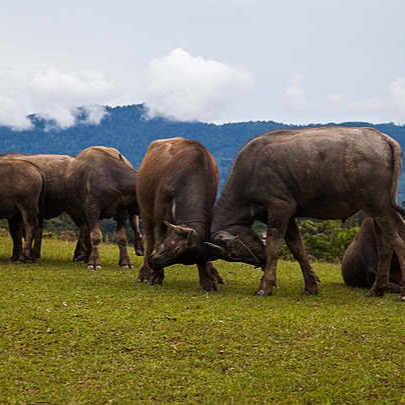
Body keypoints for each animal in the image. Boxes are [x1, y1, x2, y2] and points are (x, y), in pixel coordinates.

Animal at [136, 137, 224, 288]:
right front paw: (156, 276)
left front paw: (208, 280)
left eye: (180, 254)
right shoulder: (160, 218)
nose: (153, 263)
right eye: (176, 249)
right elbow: (159, 241)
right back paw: (144, 274)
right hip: (145, 210)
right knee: (149, 239)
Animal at [207, 126, 404, 300]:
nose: (260, 262)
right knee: (385, 246)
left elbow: (273, 247)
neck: (250, 172)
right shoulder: (286, 214)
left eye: (233, 254)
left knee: (398, 241)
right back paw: (377, 289)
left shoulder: (280, 207)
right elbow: (298, 249)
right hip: (376, 210)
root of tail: (384, 139)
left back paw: (401, 295)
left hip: (380, 206)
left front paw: (265, 287)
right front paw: (310, 286)